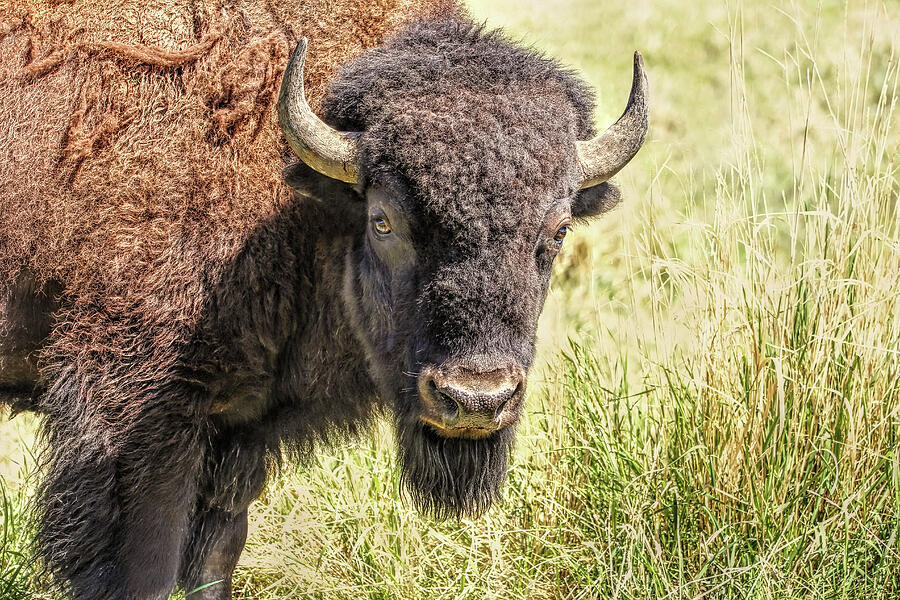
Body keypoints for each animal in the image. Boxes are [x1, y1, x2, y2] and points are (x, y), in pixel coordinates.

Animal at [0, 0, 648, 596]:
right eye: (384, 220)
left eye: (557, 230)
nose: (475, 398)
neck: (297, 195)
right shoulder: (142, 422)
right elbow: (148, 569)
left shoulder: (243, 429)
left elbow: (214, 558)